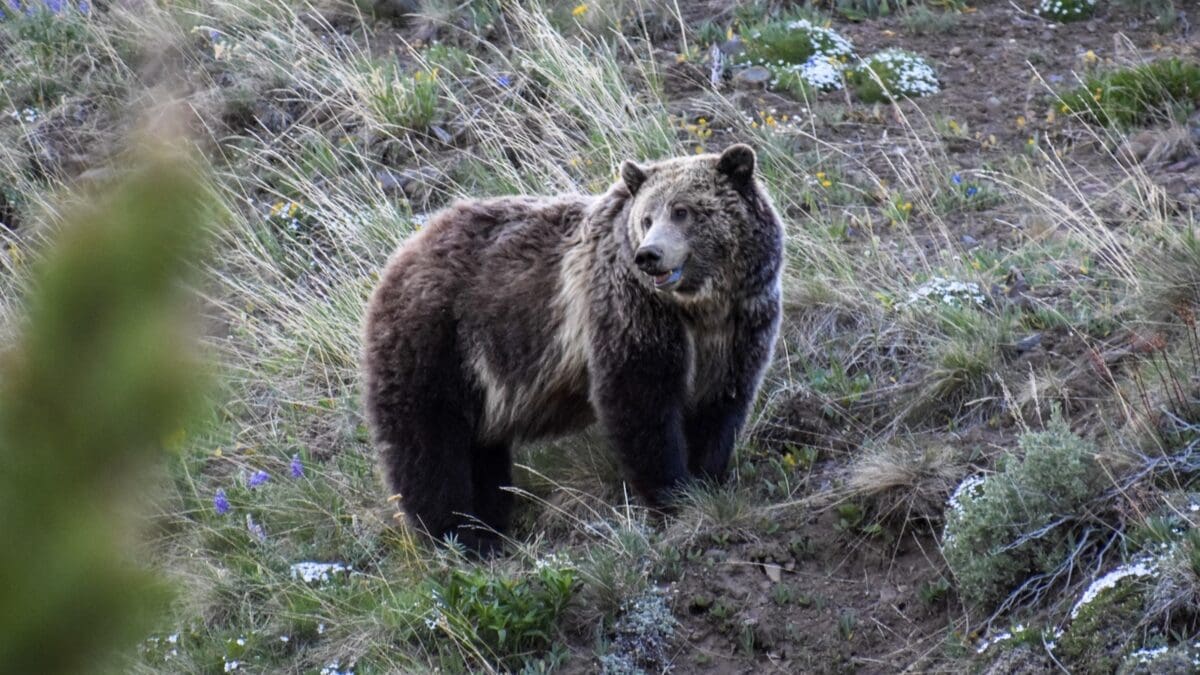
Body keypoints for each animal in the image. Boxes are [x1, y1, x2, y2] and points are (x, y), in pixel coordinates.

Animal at [360, 143, 783, 554]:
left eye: (683, 211)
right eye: (647, 218)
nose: (649, 255)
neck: (700, 306)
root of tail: (402, 253)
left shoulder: (741, 327)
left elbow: (721, 409)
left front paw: (707, 481)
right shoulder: (632, 311)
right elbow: (641, 403)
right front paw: (673, 495)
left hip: (477, 378)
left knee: (479, 449)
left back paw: (490, 520)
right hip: (436, 341)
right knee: (429, 444)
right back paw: (460, 535)